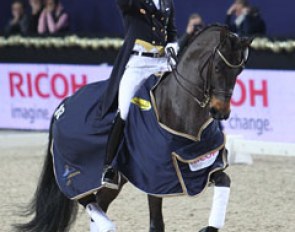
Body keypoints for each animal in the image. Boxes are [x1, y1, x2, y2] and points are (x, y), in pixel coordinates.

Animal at [15, 25, 252, 232]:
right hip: (79, 176)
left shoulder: (201, 168)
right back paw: (107, 225)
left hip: (114, 183)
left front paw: (209, 227)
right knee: (89, 203)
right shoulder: (156, 179)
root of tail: (63, 105)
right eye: (218, 67)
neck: (178, 110)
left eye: (240, 70)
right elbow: (156, 225)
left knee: (99, 205)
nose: (220, 112)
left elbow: (225, 180)